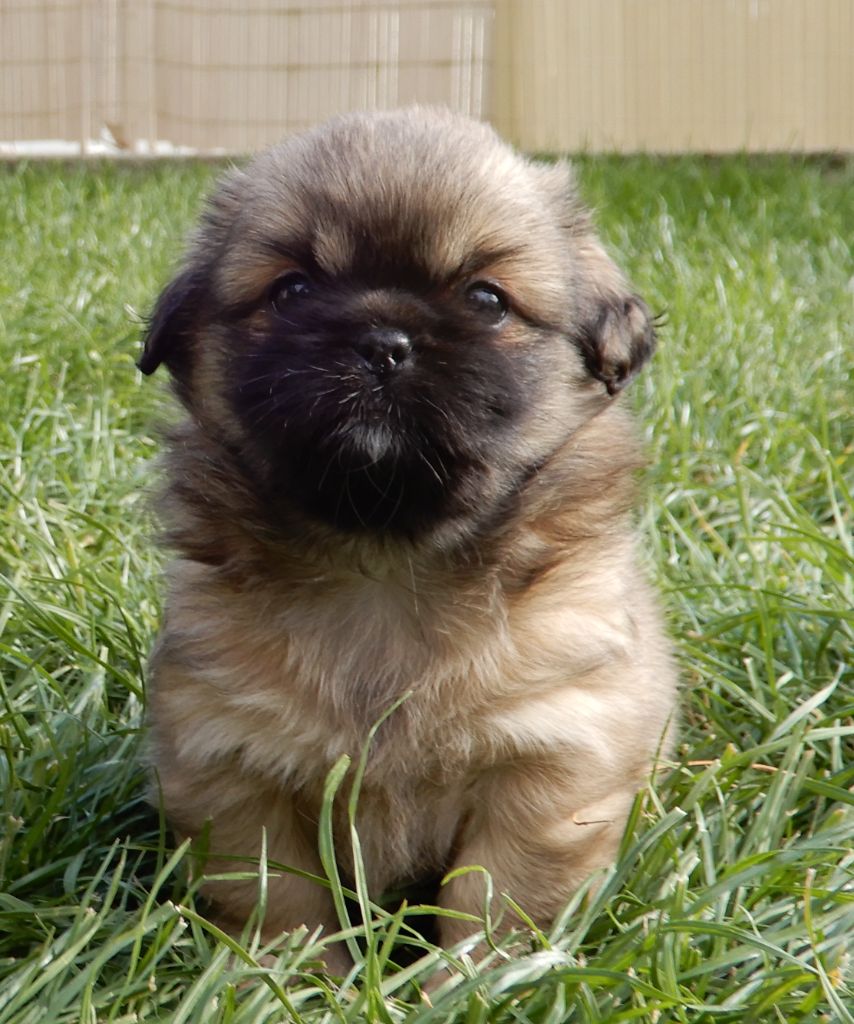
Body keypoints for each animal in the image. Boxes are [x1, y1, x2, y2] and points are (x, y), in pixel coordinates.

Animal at [139, 107, 676, 971]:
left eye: (487, 299)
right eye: (292, 290)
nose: (383, 342)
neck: (386, 560)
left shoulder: (548, 761)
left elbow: (492, 905)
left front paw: (472, 983)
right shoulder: (233, 769)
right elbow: (282, 905)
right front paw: (294, 984)